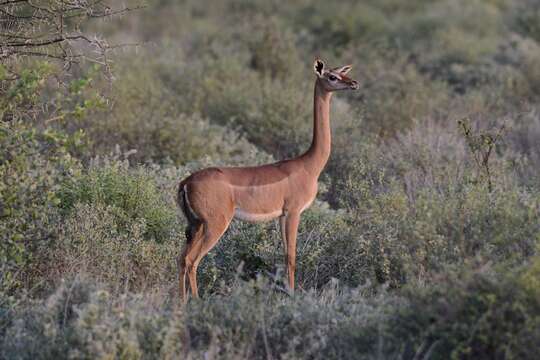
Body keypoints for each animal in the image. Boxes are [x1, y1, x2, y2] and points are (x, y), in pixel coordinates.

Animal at [177, 59, 358, 300]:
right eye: (332, 76)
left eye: (341, 72)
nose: (354, 83)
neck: (309, 165)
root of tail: (186, 183)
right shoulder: (293, 212)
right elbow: (291, 257)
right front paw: (291, 296)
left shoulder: (281, 216)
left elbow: (284, 255)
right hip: (214, 225)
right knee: (192, 260)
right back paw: (196, 302)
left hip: (195, 225)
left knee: (181, 258)